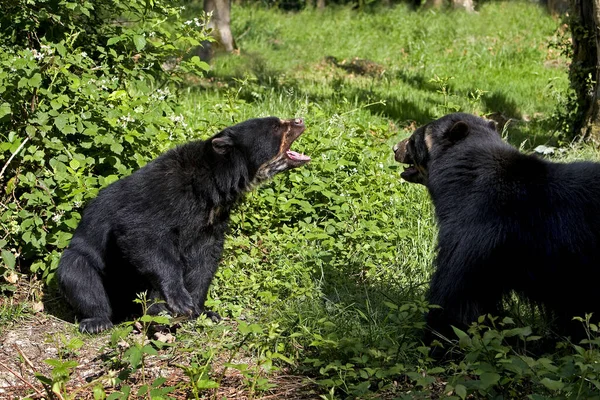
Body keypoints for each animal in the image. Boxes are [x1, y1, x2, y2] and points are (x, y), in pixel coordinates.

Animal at [56, 116, 312, 334]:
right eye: (277, 126)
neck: (213, 187)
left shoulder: (211, 221)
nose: (300, 120)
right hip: (92, 264)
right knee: (79, 276)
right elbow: (139, 232)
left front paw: (201, 311)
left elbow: (204, 260)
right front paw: (180, 301)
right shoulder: (165, 193)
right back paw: (99, 321)